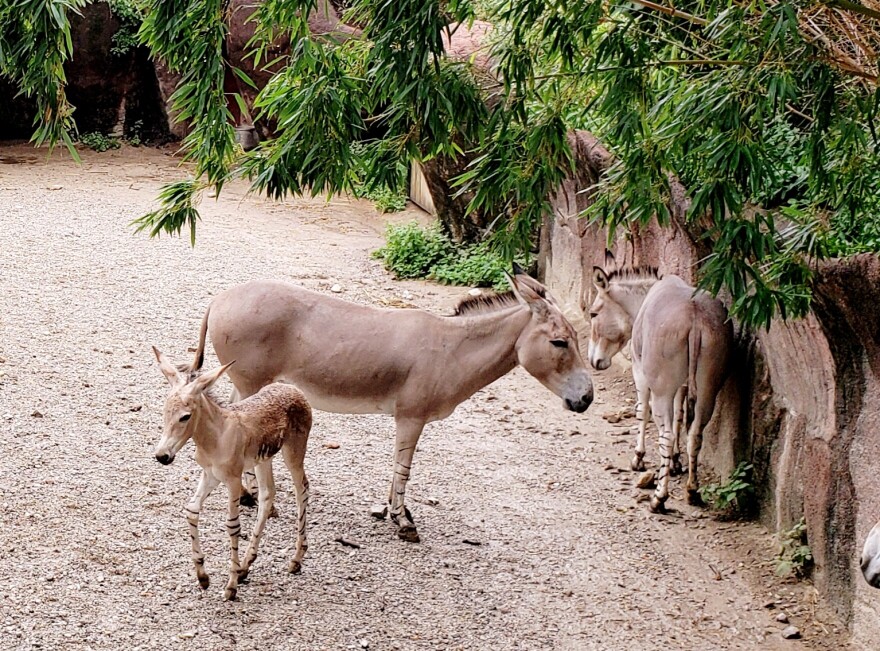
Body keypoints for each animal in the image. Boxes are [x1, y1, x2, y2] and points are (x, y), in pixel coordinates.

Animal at [153, 346, 312, 600]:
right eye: (165, 411)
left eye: (185, 416)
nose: (162, 456)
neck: (217, 436)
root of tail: (292, 389)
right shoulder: (209, 475)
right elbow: (192, 510)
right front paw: (203, 577)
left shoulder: (233, 480)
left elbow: (233, 525)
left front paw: (231, 586)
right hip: (263, 459)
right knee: (267, 495)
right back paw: (246, 566)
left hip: (293, 453)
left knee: (302, 489)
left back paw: (296, 560)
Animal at [188, 272, 596, 544]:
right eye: (560, 342)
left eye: (575, 339)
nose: (587, 399)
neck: (452, 350)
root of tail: (219, 299)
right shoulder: (411, 416)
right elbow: (404, 467)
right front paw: (402, 521)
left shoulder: (409, 418)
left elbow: (398, 464)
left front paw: (392, 510)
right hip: (251, 381)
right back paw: (249, 496)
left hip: (250, 383)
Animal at [588, 262, 732, 512]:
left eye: (593, 313)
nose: (593, 361)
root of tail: (695, 315)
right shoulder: (682, 385)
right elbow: (679, 418)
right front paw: (675, 463)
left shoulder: (640, 373)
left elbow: (642, 412)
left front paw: (638, 458)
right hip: (708, 389)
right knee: (695, 434)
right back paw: (692, 492)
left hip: (662, 390)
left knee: (665, 435)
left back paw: (659, 498)